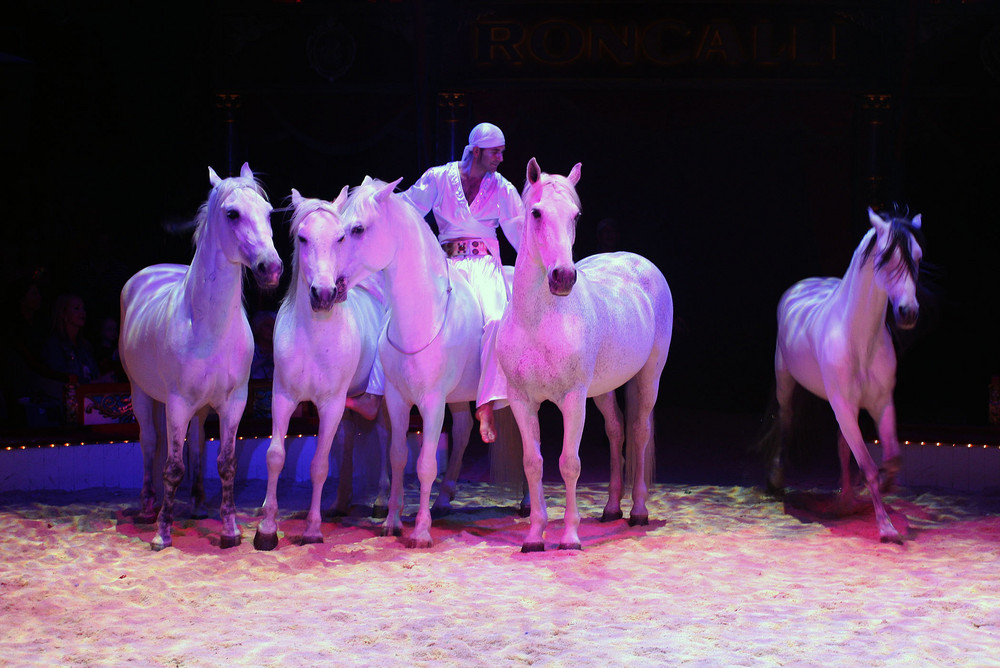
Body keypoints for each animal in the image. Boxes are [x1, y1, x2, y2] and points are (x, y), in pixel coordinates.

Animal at [120, 164, 282, 552]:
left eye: (269, 213)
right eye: (232, 214)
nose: (271, 268)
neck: (210, 327)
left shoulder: (233, 403)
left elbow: (225, 463)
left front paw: (230, 530)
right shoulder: (177, 403)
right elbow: (171, 468)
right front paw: (162, 533)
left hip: (200, 408)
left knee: (194, 445)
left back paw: (195, 505)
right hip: (141, 394)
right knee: (150, 444)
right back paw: (148, 508)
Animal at [252, 187, 388, 548]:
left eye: (340, 237)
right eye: (302, 237)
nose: (324, 294)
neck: (314, 337)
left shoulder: (331, 404)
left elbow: (319, 465)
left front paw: (312, 529)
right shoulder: (282, 397)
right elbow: (275, 456)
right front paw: (266, 528)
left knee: (387, 440)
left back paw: (381, 502)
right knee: (349, 440)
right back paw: (340, 502)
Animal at [336, 177, 492, 548]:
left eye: (358, 228)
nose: (330, 286)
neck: (424, 316)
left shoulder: (433, 403)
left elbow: (425, 464)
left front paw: (421, 531)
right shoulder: (396, 399)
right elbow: (397, 456)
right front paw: (392, 521)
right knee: (463, 430)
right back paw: (445, 500)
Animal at [498, 159, 672, 552]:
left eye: (575, 216)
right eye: (536, 212)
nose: (562, 276)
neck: (539, 322)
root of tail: (637, 261)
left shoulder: (573, 399)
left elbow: (569, 463)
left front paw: (570, 537)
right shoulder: (521, 400)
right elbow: (533, 463)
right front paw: (534, 535)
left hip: (648, 377)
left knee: (638, 432)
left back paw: (638, 512)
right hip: (604, 389)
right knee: (616, 430)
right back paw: (611, 508)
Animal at [768, 207, 924, 544]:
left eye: (918, 257)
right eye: (886, 258)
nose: (908, 312)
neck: (859, 338)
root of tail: (805, 284)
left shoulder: (881, 404)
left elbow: (892, 457)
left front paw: (884, 487)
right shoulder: (844, 405)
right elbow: (867, 465)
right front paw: (886, 528)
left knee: (841, 446)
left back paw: (845, 500)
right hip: (786, 384)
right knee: (786, 425)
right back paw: (777, 481)